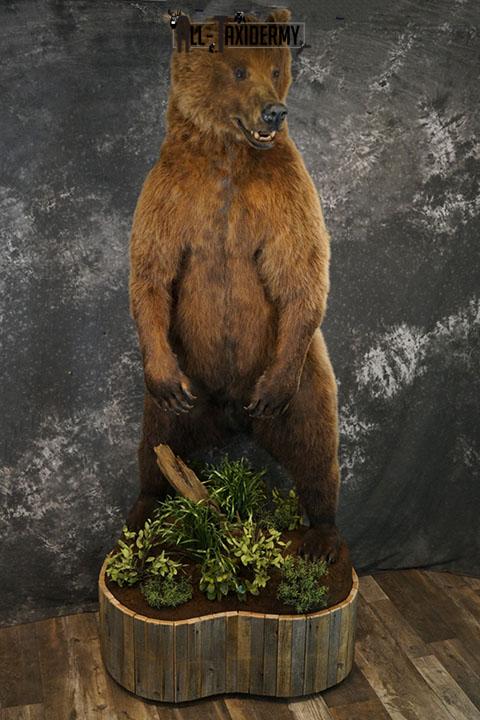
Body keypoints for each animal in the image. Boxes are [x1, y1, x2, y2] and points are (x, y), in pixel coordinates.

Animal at [127, 9, 341, 562]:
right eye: (240, 70)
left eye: (275, 68)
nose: (275, 112)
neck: (228, 155)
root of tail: (228, 408)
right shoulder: (168, 192)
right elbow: (151, 272)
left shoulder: (287, 191)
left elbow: (302, 269)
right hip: (183, 376)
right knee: (155, 444)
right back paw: (141, 512)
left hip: (303, 375)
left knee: (316, 448)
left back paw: (323, 534)